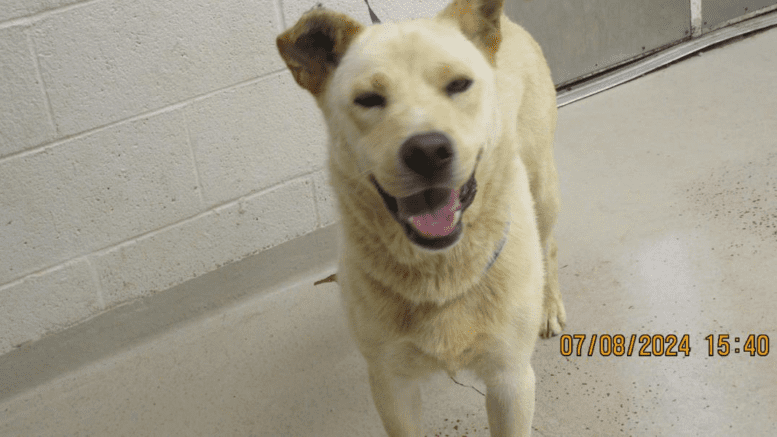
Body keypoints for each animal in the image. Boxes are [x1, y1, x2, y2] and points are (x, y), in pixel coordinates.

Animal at [278, 1, 564, 434]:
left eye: (459, 84)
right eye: (368, 98)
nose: (428, 151)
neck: (441, 273)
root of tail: (508, 25)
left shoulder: (510, 380)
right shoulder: (391, 385)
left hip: (542, 187)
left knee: (549, 247)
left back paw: (549, 305)